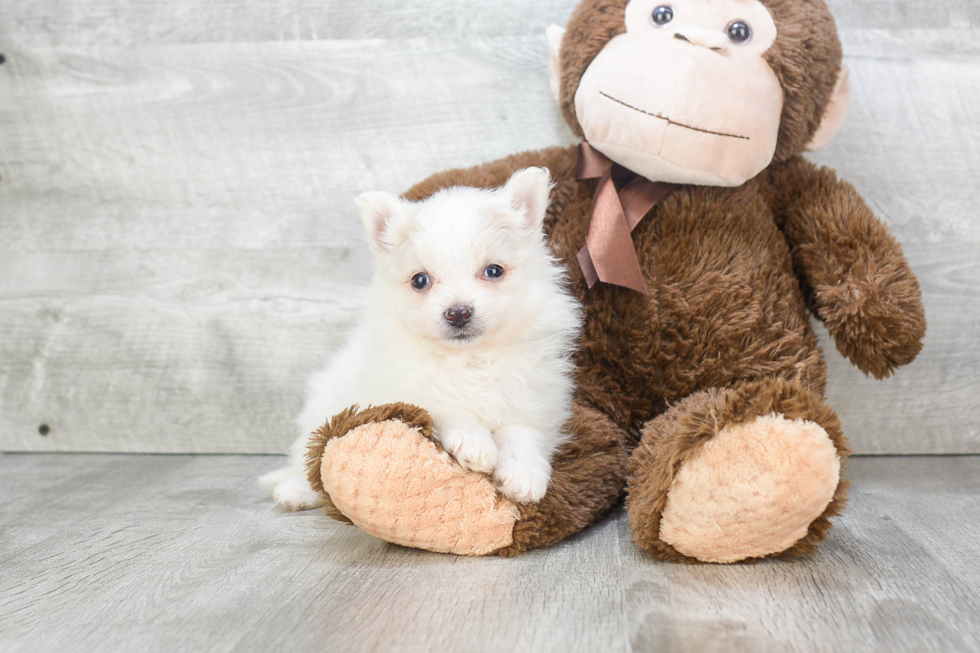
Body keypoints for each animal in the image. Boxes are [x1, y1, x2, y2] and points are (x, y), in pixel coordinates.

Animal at [260, 167, 580, 510]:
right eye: (420, 280)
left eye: (494, 271)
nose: (458, 313)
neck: (469, 360)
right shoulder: (405, 391)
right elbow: (446, 406)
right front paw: (474, 442)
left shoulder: (534, 398)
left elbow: (522, 431)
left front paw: (524, 474)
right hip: (321, 409)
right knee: (307, 458)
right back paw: (296, 490)